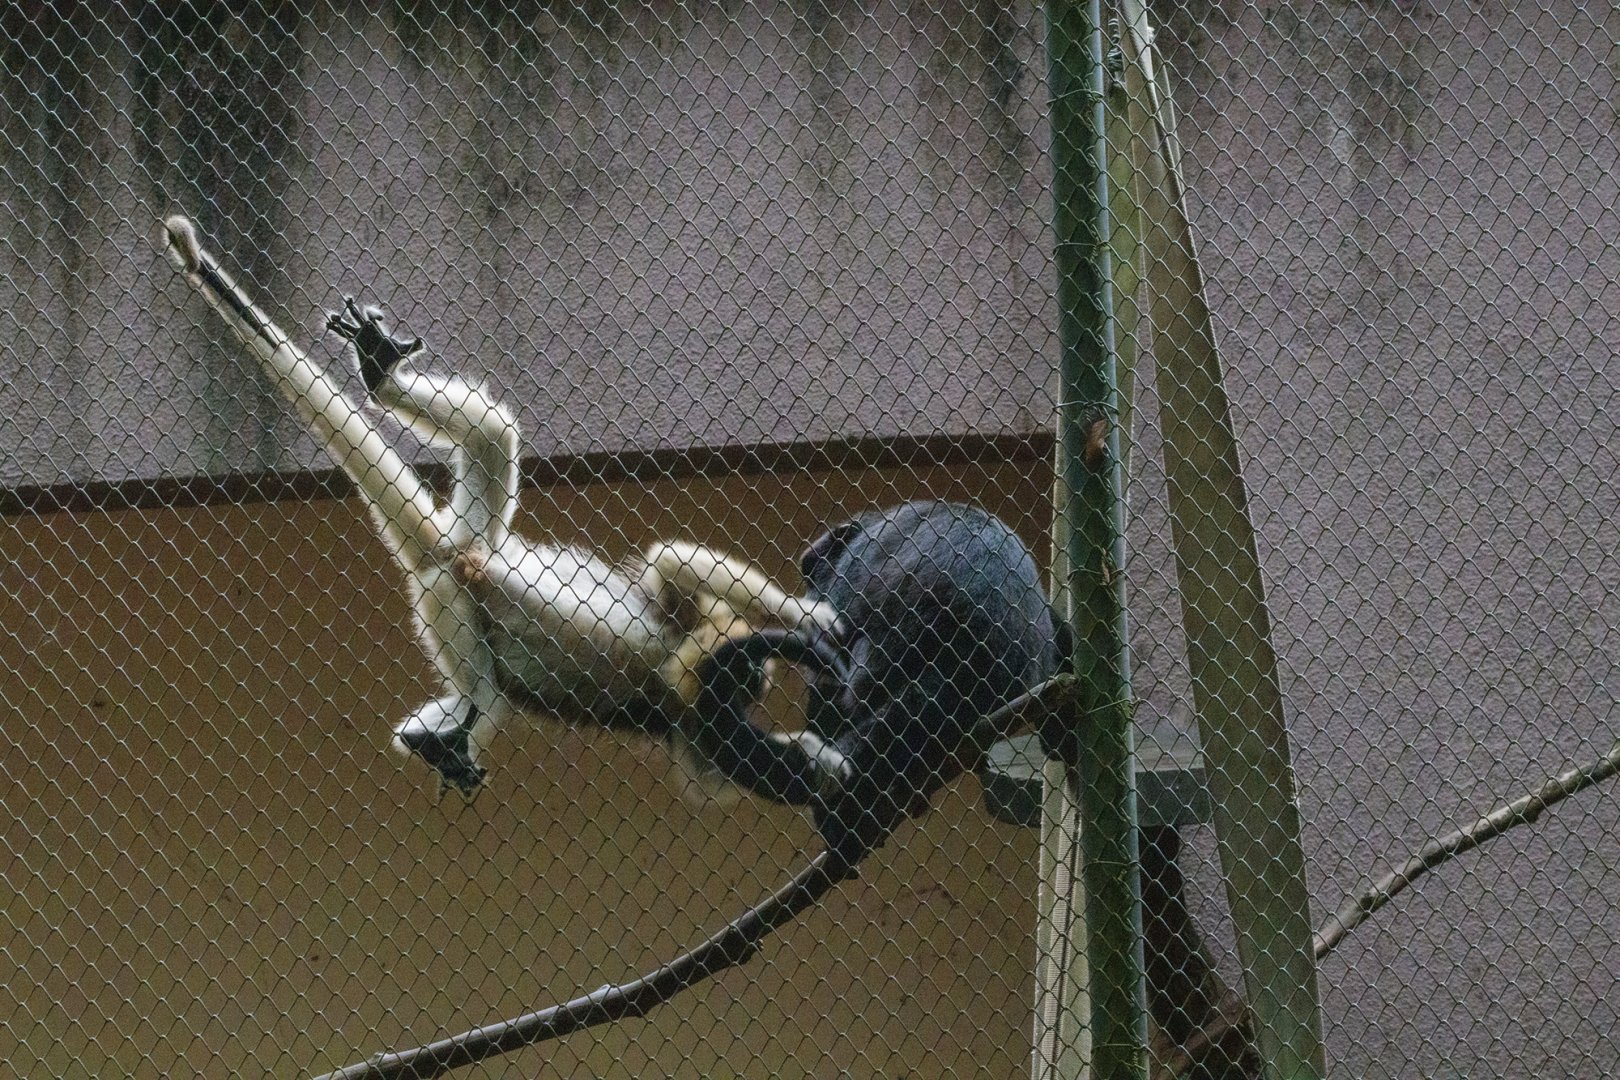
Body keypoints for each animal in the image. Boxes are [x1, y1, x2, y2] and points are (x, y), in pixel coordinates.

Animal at [162, 214, 839, 796]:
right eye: (746, 679)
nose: (752, 681)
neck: (676, 675)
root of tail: (456, 550)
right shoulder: (693, 657)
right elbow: (674, 562)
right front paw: (820, 623)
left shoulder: (698, 714)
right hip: (460, 570)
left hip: (470, 546)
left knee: (486, 442)